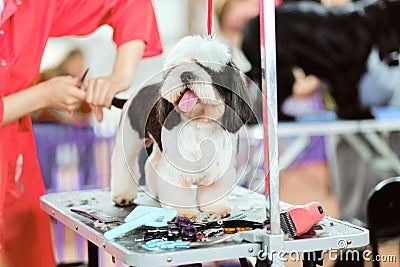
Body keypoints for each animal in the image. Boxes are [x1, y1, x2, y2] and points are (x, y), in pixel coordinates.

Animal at [111, 35, 252, 218]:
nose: (186, 74)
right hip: (129, 138)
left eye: (206, 67)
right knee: (123, 164)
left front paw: (216, 208)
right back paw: (123, 195)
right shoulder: (173, 171)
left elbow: (213, 193)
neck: (199, 123)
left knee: (152, 163)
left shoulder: (220, 169)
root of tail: (134, 95)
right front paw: (183, 212)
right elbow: (177, 193)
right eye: (178, 67)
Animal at [242, 0, 400, 120]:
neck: (368, 21)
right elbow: (349, 94)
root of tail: (249, 26)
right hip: (282, 73)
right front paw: (355, 114)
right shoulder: (346, 71)